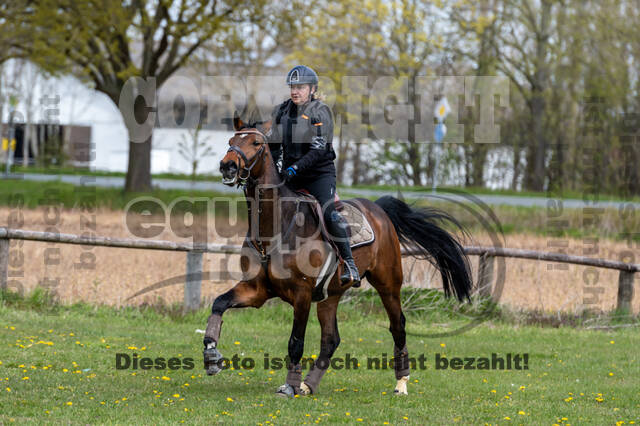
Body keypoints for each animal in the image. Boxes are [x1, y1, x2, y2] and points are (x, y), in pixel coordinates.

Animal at [202, 114, 472, 396]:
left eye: (256, 143)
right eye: (230, 141)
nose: (227, 166)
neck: (273, 230)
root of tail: (379, 209)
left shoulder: (301, 294)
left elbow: (295, 342)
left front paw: (289, 386)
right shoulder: (256, 290)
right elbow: (219, 303)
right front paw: (211, 355)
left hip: (388, 285)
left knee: (397, 327)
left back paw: (401, 383)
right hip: (330, 296)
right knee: (331, 339)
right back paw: (309, 385)